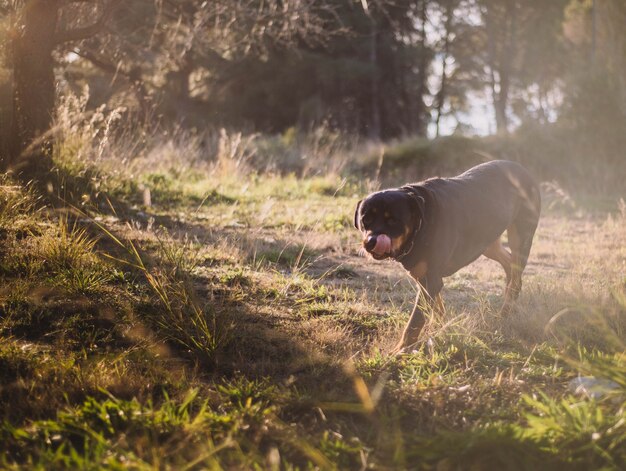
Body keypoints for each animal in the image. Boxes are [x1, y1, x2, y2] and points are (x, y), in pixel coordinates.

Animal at [354, 161, 540, 354]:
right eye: (365, 220)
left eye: (392, 220)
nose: (371, 242)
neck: (420, 226)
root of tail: (523, 169)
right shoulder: (422, 275)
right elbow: (435, 307)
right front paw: (438, 327)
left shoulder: (431, 279)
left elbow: (416, 319)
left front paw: (401, 349)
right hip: (487, 241)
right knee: (509, 263)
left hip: (520, 235)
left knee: (516, 269)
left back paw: (506, 308)